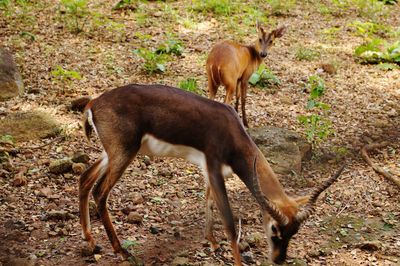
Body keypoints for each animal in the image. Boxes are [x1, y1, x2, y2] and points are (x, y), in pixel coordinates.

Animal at [79, 84, 346, 264]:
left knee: (84, 178)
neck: (232, 132)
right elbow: (229, 222)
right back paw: (120, 250)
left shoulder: (211, 171)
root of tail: (94, 103)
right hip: (124, 153)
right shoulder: (215, 167)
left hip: (111, 154)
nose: (279, 260)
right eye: (274, 229)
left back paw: (91, 240)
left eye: (295, 232)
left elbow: (208, 202)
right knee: (100, 191)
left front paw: (213, 242)